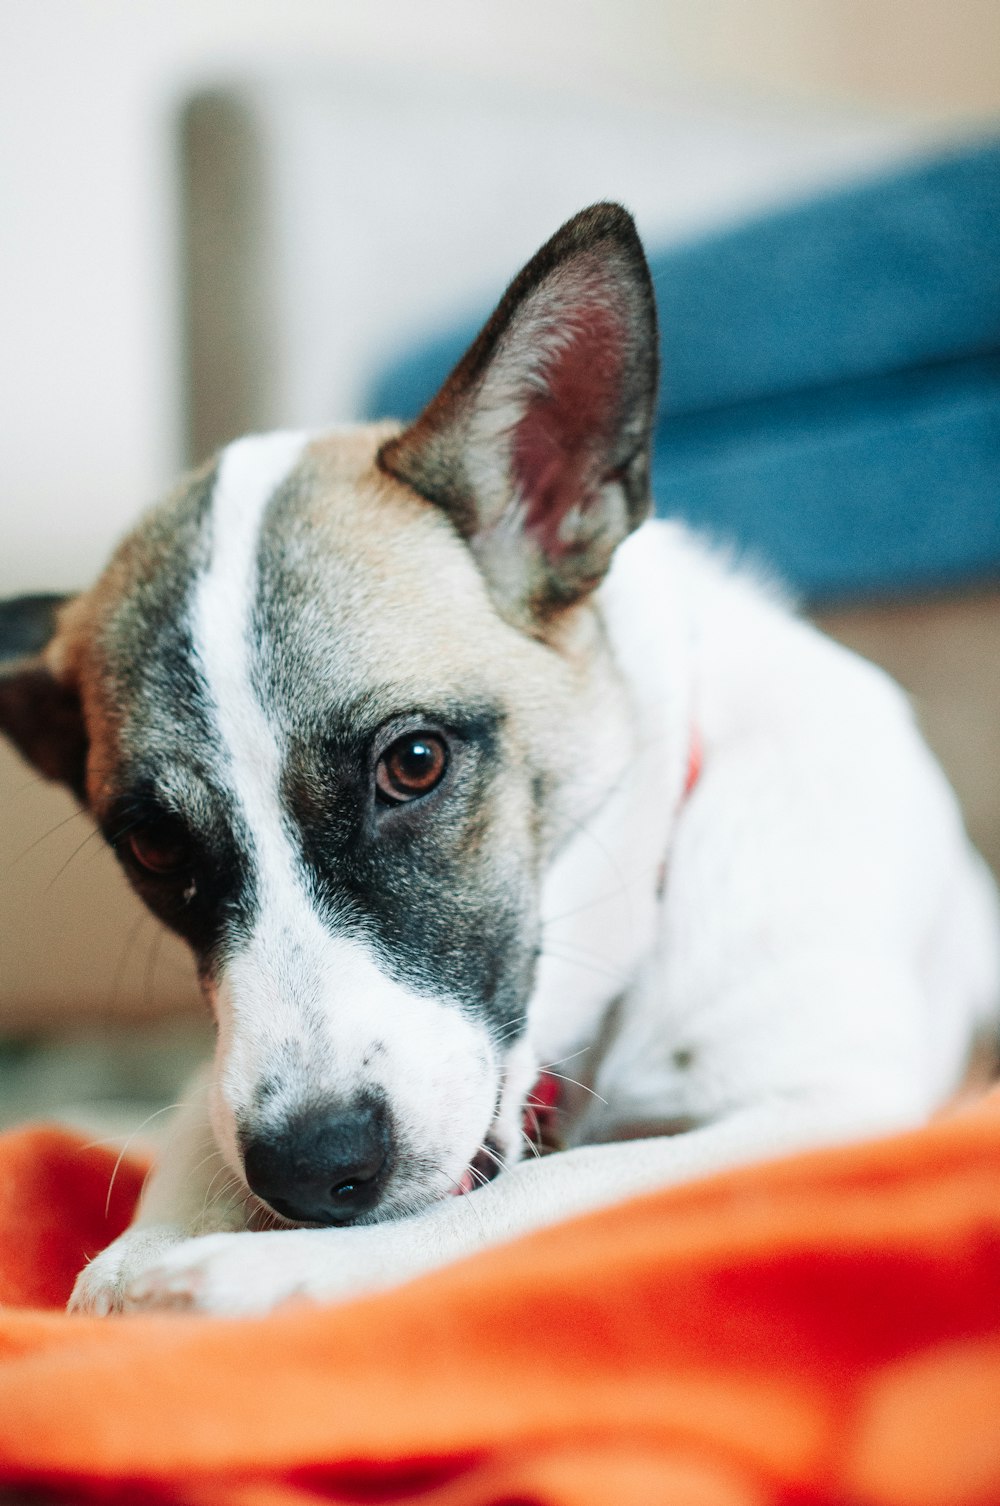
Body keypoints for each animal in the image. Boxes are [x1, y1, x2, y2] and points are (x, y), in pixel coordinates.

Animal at [1, 206, 1000, 1313]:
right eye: (155, 847)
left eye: (415, 761)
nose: (312, 1170)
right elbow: (188, 1143)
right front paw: (146, 1245)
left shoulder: (820, 1109)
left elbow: (538, 1191)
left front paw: (264, 1266)